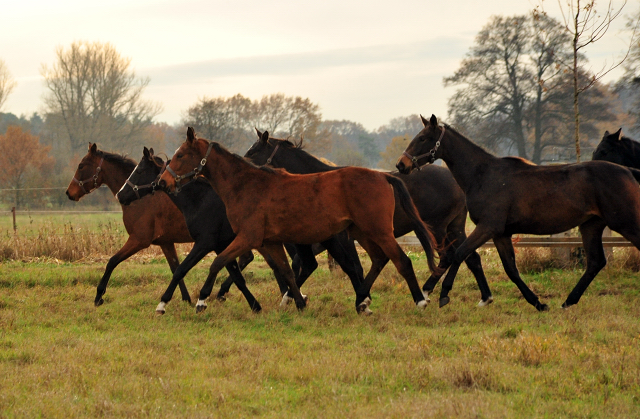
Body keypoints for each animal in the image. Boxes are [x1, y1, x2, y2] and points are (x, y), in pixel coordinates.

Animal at [67, 144, 195, 306]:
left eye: (81, 165)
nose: (69, 192)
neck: (140, 198)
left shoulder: (139, 240)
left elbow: (112, 261)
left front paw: (99, 295)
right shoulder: (166, 243)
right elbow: (175, 269)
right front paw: (187, 299)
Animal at [117, 148, 370, 312]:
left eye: (139, 170)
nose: (121, 194)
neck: (200, 200)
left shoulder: (205, 243)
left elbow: (182, 269)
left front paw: (165, 303)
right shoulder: (223, 245)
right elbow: (237, 276)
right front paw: (254, 304)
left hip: (322, 240)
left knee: (345, 266)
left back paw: (360, 301)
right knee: (317, 265)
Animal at [159, 128, 440, 316]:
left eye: (181, 155)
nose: (163, 181)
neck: (247, 185)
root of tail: (382, 176)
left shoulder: (247, 238)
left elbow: (217, 263)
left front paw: (200, 300)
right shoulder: (270, 242)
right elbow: (287, 272)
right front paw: (299, 302)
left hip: (378, 232)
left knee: (400, 261)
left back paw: (419, 300)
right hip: (363, 233)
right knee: (379, 260)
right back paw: (362, 300)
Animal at [245, 127, 490, 306]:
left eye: (253, 152)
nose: (242, 162)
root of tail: (456, 183)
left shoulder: (340, 238)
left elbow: (350, 266)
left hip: (438, 229)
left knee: (449, 256)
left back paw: (429, 290)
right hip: (454, 228)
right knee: (469, 257)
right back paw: (480, 296)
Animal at [398, 115, 640, 312]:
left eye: (423, 138)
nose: (401, 165)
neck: (483, 175)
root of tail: (628, 171)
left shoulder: (487, 227)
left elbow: (459, 254)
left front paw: (442, 294)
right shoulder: (500, 234)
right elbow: (511, 269)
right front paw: (539, 303)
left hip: (625, 222)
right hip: (591, 225)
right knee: (595, 262)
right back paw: (567, 302)